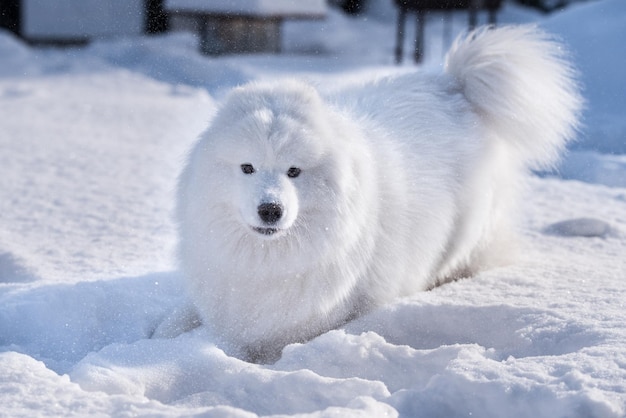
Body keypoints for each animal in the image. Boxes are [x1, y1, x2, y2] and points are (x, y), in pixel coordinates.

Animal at [172, 26, 580, 362]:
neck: (270, 260)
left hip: (463, 232)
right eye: (247, 168)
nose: (270, 209)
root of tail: (454, 84)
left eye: (294, 171)